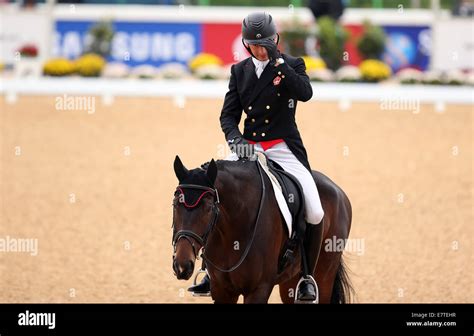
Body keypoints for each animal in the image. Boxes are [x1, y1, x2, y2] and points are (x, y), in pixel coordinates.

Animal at [171, 156, 352, 304]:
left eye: (209, 208)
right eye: (175, 204)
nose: (182, 266)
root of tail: (338, 191)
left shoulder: (259, 289)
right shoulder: (222, 290)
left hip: (324, 275)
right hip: (289, 283)